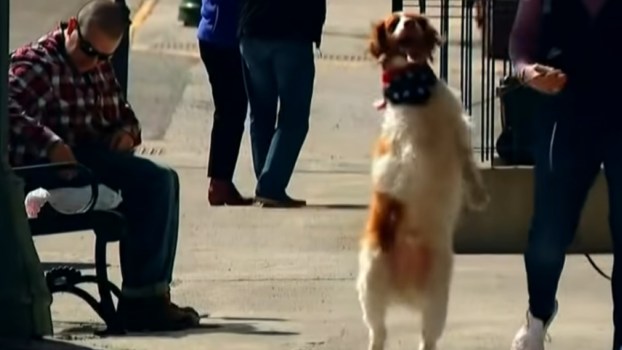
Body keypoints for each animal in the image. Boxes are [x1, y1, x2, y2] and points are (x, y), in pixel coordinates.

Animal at [358, 10, 490, 350]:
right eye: (394, 24)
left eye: (415, 20)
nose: (408, 24)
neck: (412, 91)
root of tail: (404, 287)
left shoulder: (455, 125)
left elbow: (467, 163)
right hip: (370, 286)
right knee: (379, 333)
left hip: (437, 298)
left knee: (426, 339)